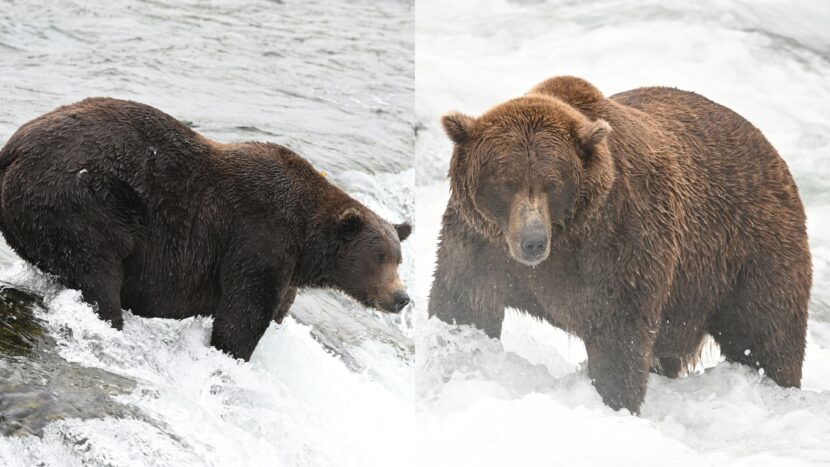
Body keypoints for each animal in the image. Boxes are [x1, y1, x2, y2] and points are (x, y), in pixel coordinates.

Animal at [0, 97, 412, 361]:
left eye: (398, 259)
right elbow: (243, 314)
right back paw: (111, 318)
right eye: (379, 258)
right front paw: (231, 354)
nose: (401, 298)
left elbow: (277, 308)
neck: (307, 245)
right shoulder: (259, 239)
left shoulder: (287, 268)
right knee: (97, 271)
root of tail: (12, 148)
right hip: (81, 200)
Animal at [428, 76, 811, 413]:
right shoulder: (479, 244)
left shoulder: (620, 241)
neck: (566, 237)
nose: (532, 242)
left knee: (766, 336)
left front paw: (614, 401)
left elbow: (619, 335)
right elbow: (464, 306)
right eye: (507, 182)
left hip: (747, 254)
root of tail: (771, 151)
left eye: (553, 184)